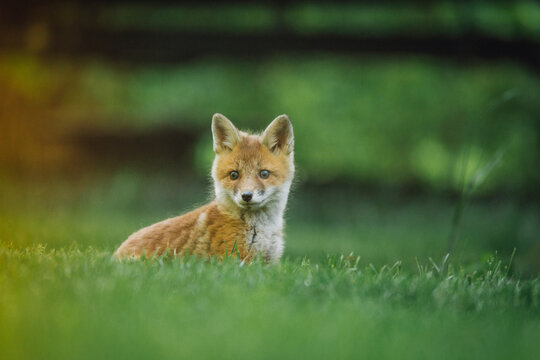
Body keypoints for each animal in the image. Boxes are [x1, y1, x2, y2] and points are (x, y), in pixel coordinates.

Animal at [112, 114, 294, 262]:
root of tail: (114, 257)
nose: (246, 196)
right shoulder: (237, 261)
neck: (262, 229)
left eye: (264, 173)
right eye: (234, 175)